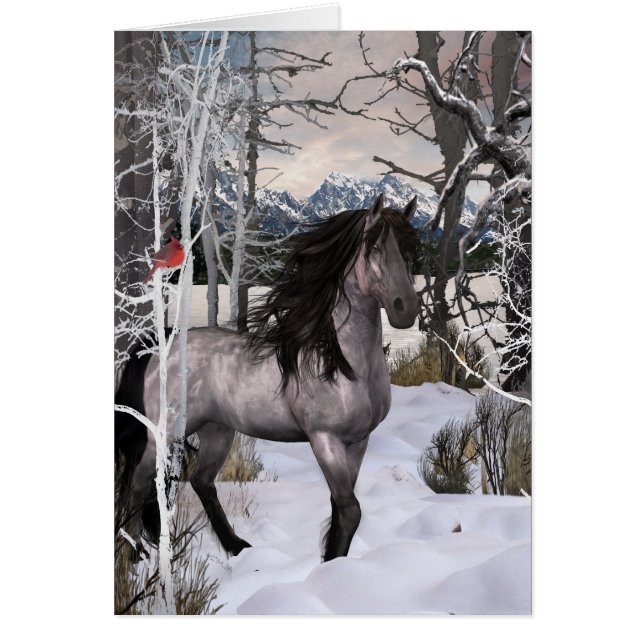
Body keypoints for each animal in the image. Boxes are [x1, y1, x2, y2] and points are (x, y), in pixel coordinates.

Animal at [115, 192, 420, 562]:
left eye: (411, 248)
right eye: (374, 248)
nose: (406, 309)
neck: (343, 363)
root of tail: (155, 347)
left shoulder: (358, 441)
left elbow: (340, 508)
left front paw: (333, 561)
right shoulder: (325, 439)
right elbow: (349, 509)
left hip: (217, 430)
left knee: (201, 481)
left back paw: (237, 548)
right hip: (165, 433)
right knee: (139, 483)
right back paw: (135, 559)